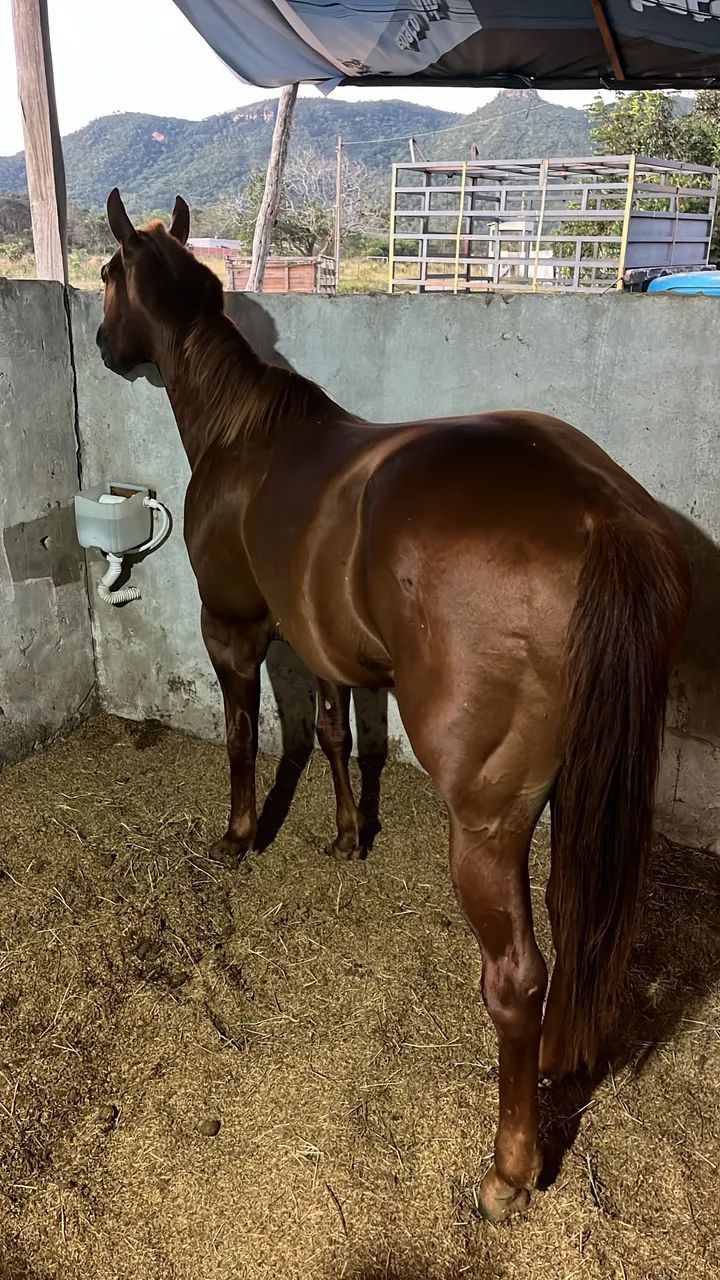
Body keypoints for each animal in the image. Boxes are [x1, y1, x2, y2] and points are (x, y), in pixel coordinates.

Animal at [97, 189, 690, 1223]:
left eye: (105, 277)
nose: (98, 343)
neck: (247, 438)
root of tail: (597, 510)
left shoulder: (236, 629)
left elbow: (248, 736)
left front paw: (240, 836)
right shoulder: (325, 645)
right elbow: (338, 736)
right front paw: (346, 836)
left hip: (488, 819)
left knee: (518, 978)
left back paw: (508, 1172)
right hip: (578, 787)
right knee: (576, 923)